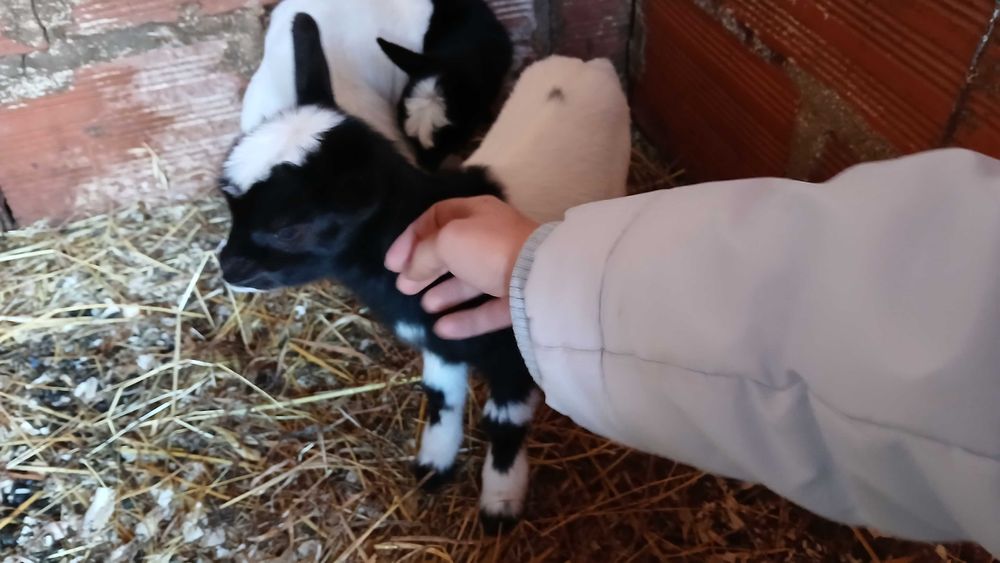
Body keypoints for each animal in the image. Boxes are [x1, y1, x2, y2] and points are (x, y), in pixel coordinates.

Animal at [217, 13, 630, 531]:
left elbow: (504, 423)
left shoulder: (513, 351)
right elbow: (439, 397)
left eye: (289, 229)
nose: (227, 267)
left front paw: (501, 502)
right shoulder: (439, 341)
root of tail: (585, 63)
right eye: (230, 203)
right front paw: (435, 465)